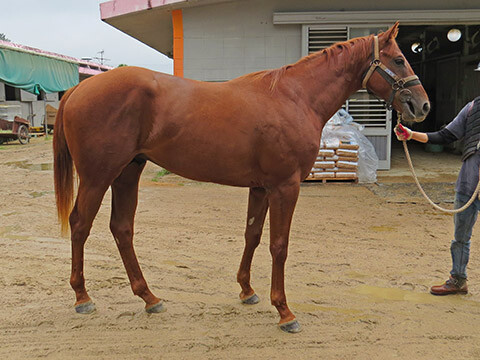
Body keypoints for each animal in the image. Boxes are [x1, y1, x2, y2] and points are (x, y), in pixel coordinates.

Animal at [54, 21, 430, 332]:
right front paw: (284, 311)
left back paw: (149, 297)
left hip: (128, 173)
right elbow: (279, 245)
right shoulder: (285, 187)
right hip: (97, 177)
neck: (294, 97)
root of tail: (77, 89)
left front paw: (247, 291)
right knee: (80, 225)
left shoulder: (261, 188)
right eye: (399, 60)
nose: (422, 106)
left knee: (122, 229)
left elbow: (252, 235)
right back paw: (83, 298)